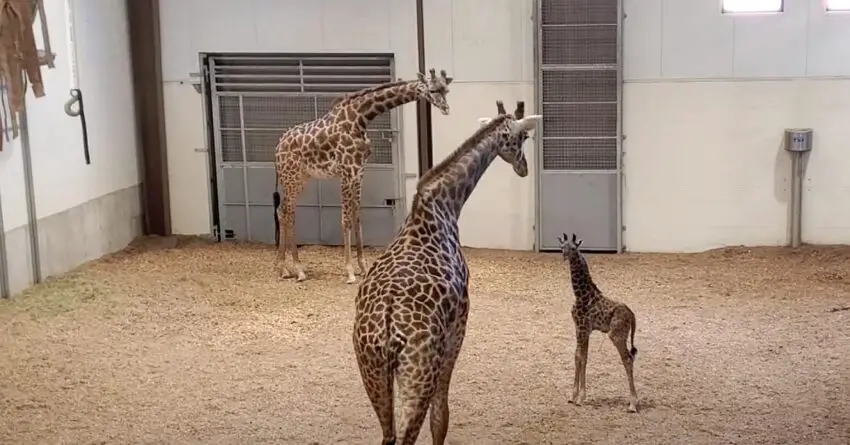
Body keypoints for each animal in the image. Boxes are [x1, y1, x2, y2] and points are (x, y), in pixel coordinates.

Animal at [274, 69, 454, 284]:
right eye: (433, 89)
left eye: (446, 90)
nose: (446, 108)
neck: (360, 118)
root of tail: (277, 148)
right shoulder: (345, 171)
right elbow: (345, 219)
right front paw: (350, 271)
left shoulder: (359, 171)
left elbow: (357, 217)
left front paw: (362, 266)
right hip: (291, 177)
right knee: (287, 212)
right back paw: (296, 269)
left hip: (302, 178)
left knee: (284, 211)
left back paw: (286, 268)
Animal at [352, 100, 544, 444]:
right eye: (522, 137)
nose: (523, 168)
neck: (446, 205)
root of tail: (385, 330)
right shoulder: (460, 323)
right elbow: (441, 415)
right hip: (419, 370)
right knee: (407, 434)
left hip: (371, 369)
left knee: (388, 435)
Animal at [552, 232, 640, 412]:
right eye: (561, 246)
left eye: (574, 248)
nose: (564, 255)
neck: (581, 294)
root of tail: (632, 315)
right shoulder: (582, 329)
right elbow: (581, 356)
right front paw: (576, 396)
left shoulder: (582, 328)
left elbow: (579, 356)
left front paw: (579, 397)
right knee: (631, 358)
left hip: (616, 335)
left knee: (627, 359)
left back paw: (633, 404)